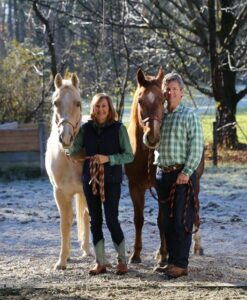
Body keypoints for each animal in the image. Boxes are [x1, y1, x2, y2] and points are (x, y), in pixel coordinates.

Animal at [125, 68, 205, 264]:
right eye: (140, 100)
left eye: (163, 100)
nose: (153, 137)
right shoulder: (134, 187)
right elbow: (139, 219)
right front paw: (136, 255)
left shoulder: (161, 188)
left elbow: (162, 221)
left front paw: (163, 255)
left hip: (195, 184)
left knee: (194, 211)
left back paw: (196, 246)